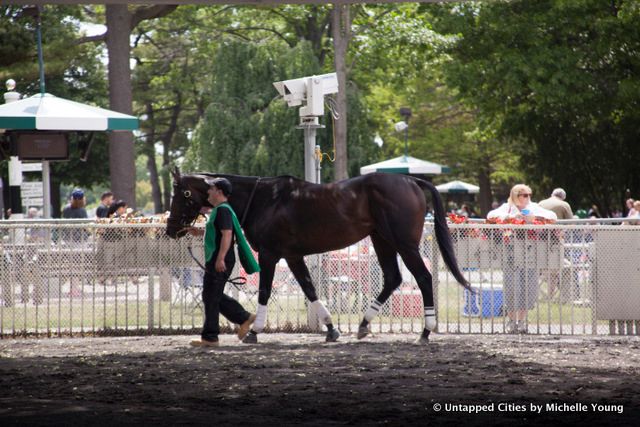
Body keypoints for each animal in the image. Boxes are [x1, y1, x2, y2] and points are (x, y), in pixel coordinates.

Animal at [168, 169, 470, 342]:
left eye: (183, 193)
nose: (171, 229)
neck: (266, 199)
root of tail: (411, 179)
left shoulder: (269, 254)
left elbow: (265, 291)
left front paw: (254, 331)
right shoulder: (293, 256)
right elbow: (309, 289)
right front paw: (331, 329)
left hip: (404, 244)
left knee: (423, 277)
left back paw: (426, 331)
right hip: (381, 239)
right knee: (393, 278)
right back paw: (363, 325)